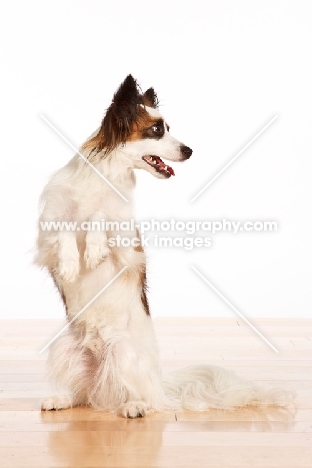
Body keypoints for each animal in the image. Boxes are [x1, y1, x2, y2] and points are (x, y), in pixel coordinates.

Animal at [36, 75, 292, 418]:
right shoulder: (47, 229)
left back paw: (135, 405)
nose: (190, 150)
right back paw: (63, 398)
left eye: (168, 128)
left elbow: (100, 218)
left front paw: (93, 248)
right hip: (66, 348)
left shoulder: (128, 244)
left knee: (137, 395)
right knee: (84, 394)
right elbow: (64, 230)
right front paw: (69, 263)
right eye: (157, 130)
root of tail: (160, 385)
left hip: (125, 353)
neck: (104, 176)